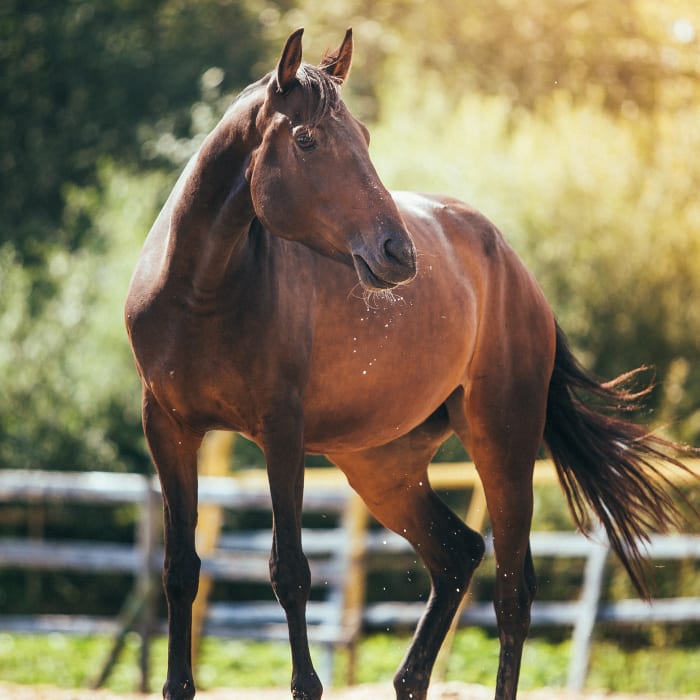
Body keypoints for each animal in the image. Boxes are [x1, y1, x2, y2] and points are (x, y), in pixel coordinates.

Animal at [127, 27, 696, 700]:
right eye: (306, 139)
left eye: (366, 137)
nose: (397, 252)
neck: (203, 290)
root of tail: (512, 265)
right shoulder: (169, 431)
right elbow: (179, 570)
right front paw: (177, 686)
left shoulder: (280, 434)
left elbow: (289, 570)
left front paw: (306, 686)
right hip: (383, 468)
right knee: (457, 554)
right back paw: (409, 677)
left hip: (502, 444)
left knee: (512, 593)